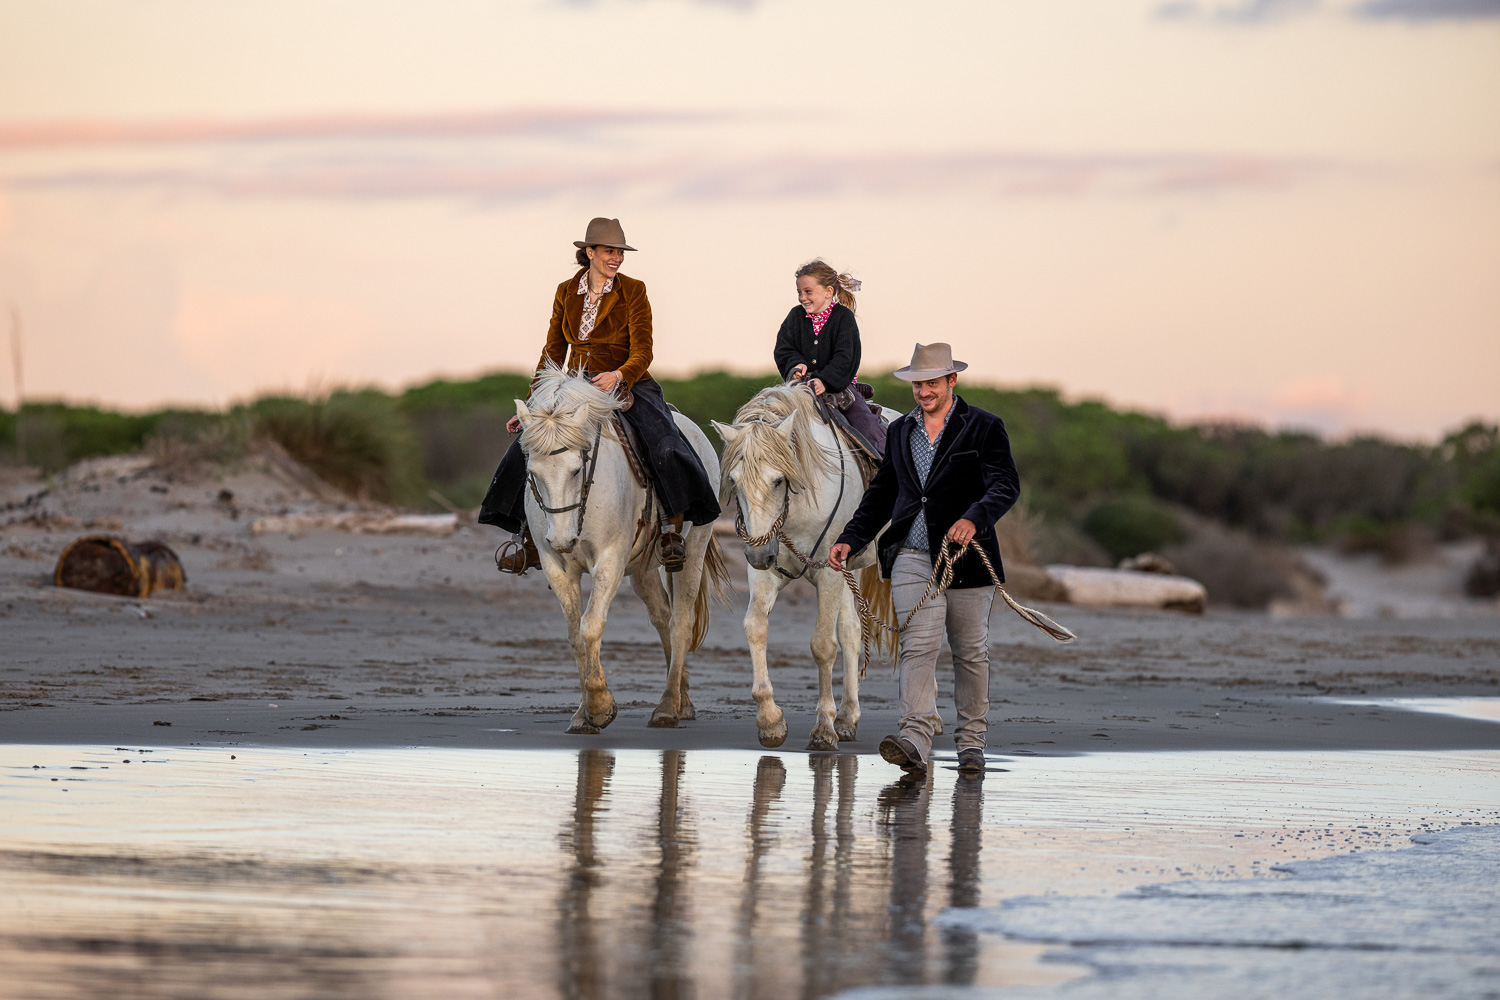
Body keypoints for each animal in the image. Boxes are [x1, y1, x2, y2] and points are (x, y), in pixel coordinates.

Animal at [516, 367, 732, 734]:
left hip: (693, 551)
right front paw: (582, 714)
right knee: (662, 617)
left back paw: (668, 707)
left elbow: (591, 625)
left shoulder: (610, 561)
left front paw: (600, 706)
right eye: (532, 472)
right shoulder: (557, 567)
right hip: (643, 570)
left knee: (681, 622)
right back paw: (683, 700)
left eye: (576, 469)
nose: (561, 540)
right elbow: (575, 635)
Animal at [711, 383, 888, 749]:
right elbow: (756, 627)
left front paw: (823, 728)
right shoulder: (766, 573)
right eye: (734, 480)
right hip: (853, 569)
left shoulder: (829, 572)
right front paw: (771, 720)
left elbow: (822, 646)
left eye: (779, 480)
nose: (758, 554)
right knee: (852, 632)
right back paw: (848, 717)